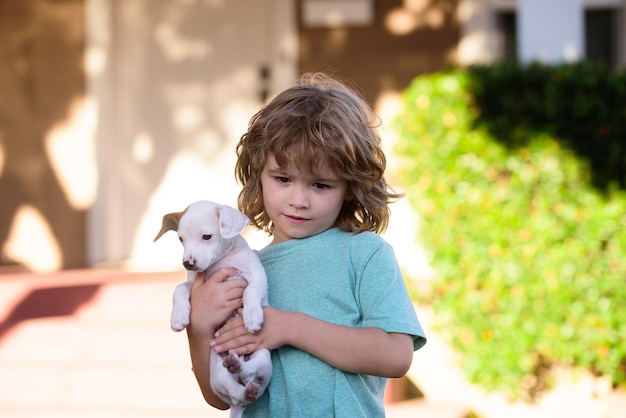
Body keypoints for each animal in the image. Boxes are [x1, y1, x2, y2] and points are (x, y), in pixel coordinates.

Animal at [154, 201, 270, 416]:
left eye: (206, 236)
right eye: (181, 239)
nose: (187, 263)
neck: (221, 261)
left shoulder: (257, 277)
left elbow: (250, 290)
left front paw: (251, 316)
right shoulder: (192, 285)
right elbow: (178, 289)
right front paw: (178, 317)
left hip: (264, 357)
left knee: (251, 372)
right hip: (218, 376)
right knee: (236, 393)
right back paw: (238, 373)